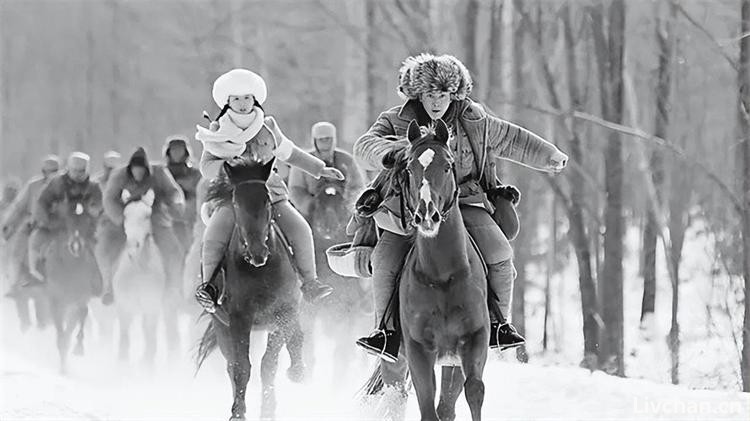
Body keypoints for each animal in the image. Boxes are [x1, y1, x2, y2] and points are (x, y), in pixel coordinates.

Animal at [44, 192, 103, 372]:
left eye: (88, 223)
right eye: (66, 221)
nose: (76, 246)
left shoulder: (79, 301)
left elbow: (70, 331)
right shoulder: (56, 301)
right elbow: (61, 336)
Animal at [111, 189, 167, 362]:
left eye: (147, 216)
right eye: (125, 215)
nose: (133, 247)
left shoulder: (152, 307)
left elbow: (151, 344)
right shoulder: (124, 307)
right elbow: (124, 343)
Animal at [198, 158, 310, 420]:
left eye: (267, 199)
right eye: (236, 203)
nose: (258, 252)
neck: (261, 270)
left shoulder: (283, 311)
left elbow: (273, 360)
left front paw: (295, 375)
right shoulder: (239, 318)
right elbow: (241, 367)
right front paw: (238, 413)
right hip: (222, 325)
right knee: (231, 365)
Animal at [366, 119, 494, 420]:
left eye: (447, 165)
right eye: (409, 168)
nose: (427, 214)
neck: (443, 274)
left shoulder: (473, 340)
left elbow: (474, 391)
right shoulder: (418, 350)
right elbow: (426, 406)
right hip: (396, 359)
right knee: (396, 397)